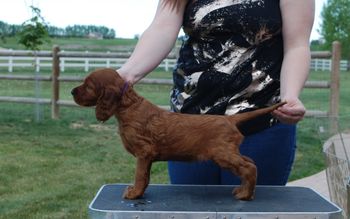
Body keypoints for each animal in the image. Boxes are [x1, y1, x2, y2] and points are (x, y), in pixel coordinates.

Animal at [72, 68, 288, 200]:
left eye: (88, 85)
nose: (73, 91)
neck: (128, 107)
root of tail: (229, 119)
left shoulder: (144, 152)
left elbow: (140, 175)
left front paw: (134, 193)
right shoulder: (147, 157)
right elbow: (146, 177)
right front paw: (139, 193)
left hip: (222, 154)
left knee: (249, 167)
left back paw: (245, 195)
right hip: (228, 152)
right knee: (250, 162)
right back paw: (244, 190)